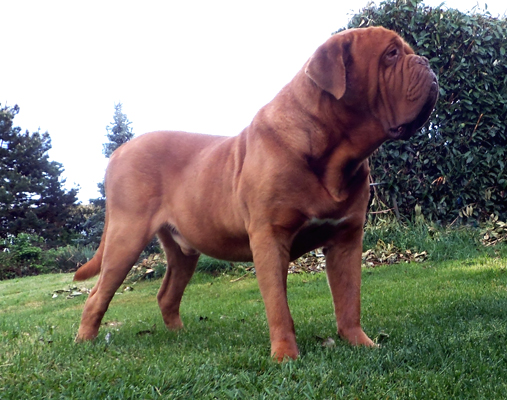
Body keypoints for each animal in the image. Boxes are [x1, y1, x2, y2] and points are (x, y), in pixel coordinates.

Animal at [73, 26, 438, 360]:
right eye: (391, 54)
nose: (427, 63)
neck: (333, 154)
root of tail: (120, 151)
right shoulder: (269, 237)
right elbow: (279, 306)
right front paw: (286, 356)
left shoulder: (346, 238)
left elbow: (349, 300)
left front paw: (360, 343)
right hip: (126, 237)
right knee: (97, 295)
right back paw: (84, 342)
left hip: (182, 250)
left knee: (167, 293)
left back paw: (179, 335)